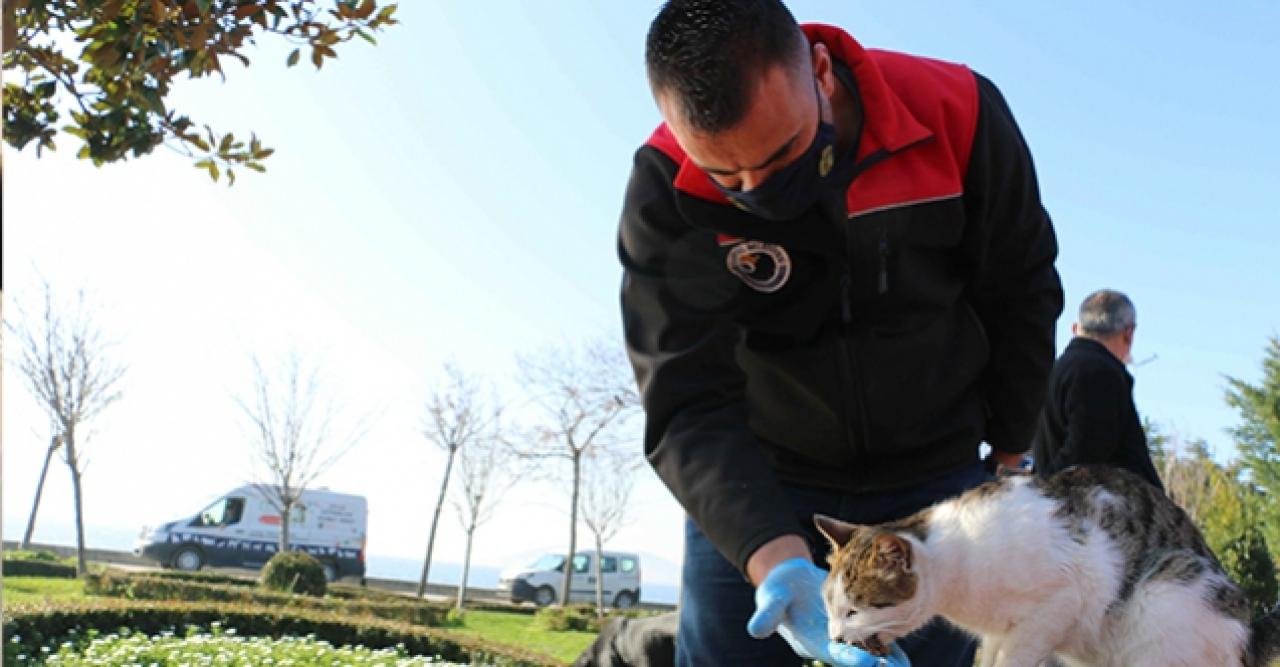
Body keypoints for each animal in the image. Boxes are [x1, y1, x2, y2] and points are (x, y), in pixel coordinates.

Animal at [814, 463, 1274, 665]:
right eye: (829, 608)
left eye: (854, 609)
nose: (835, 636)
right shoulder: (997, 632)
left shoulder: (1061, 600)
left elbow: (1017, 657)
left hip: (1166, 602)